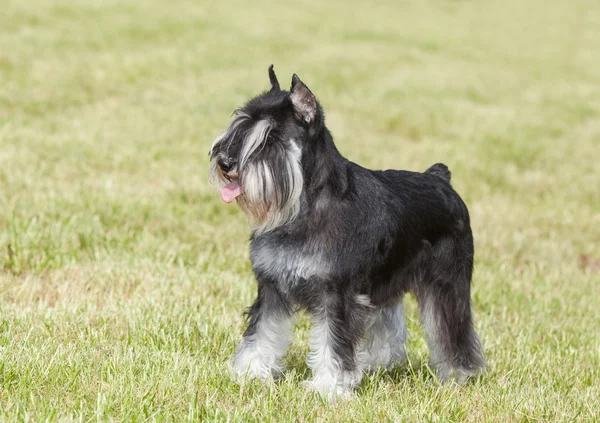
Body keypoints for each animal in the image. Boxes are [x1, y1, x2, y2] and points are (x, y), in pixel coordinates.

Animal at [209, 66, 486, 398]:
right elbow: (262, 333)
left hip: (446, 283)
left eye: (271, 137)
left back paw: (460, 373)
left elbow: (333, 343)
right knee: (388, 322)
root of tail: (441, 178)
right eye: (240, 123)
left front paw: (328, 387)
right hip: (385, 280)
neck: (304, 206)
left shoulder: (337, 295)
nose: (225, 162)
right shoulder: (272, 287)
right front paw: (249, 373)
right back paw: (376, 364)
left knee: (452, 329)